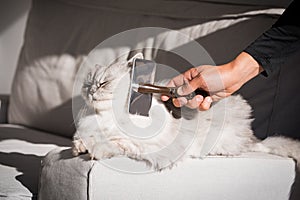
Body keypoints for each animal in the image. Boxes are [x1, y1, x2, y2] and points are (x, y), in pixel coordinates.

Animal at [72, 52, 300, 170]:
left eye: (103, 84)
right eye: (88, 84)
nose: (91, 91)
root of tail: (253, 139)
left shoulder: (142, 143)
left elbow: (115, 142)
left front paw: (94, 150)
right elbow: (82, 139)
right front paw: (79, 147)